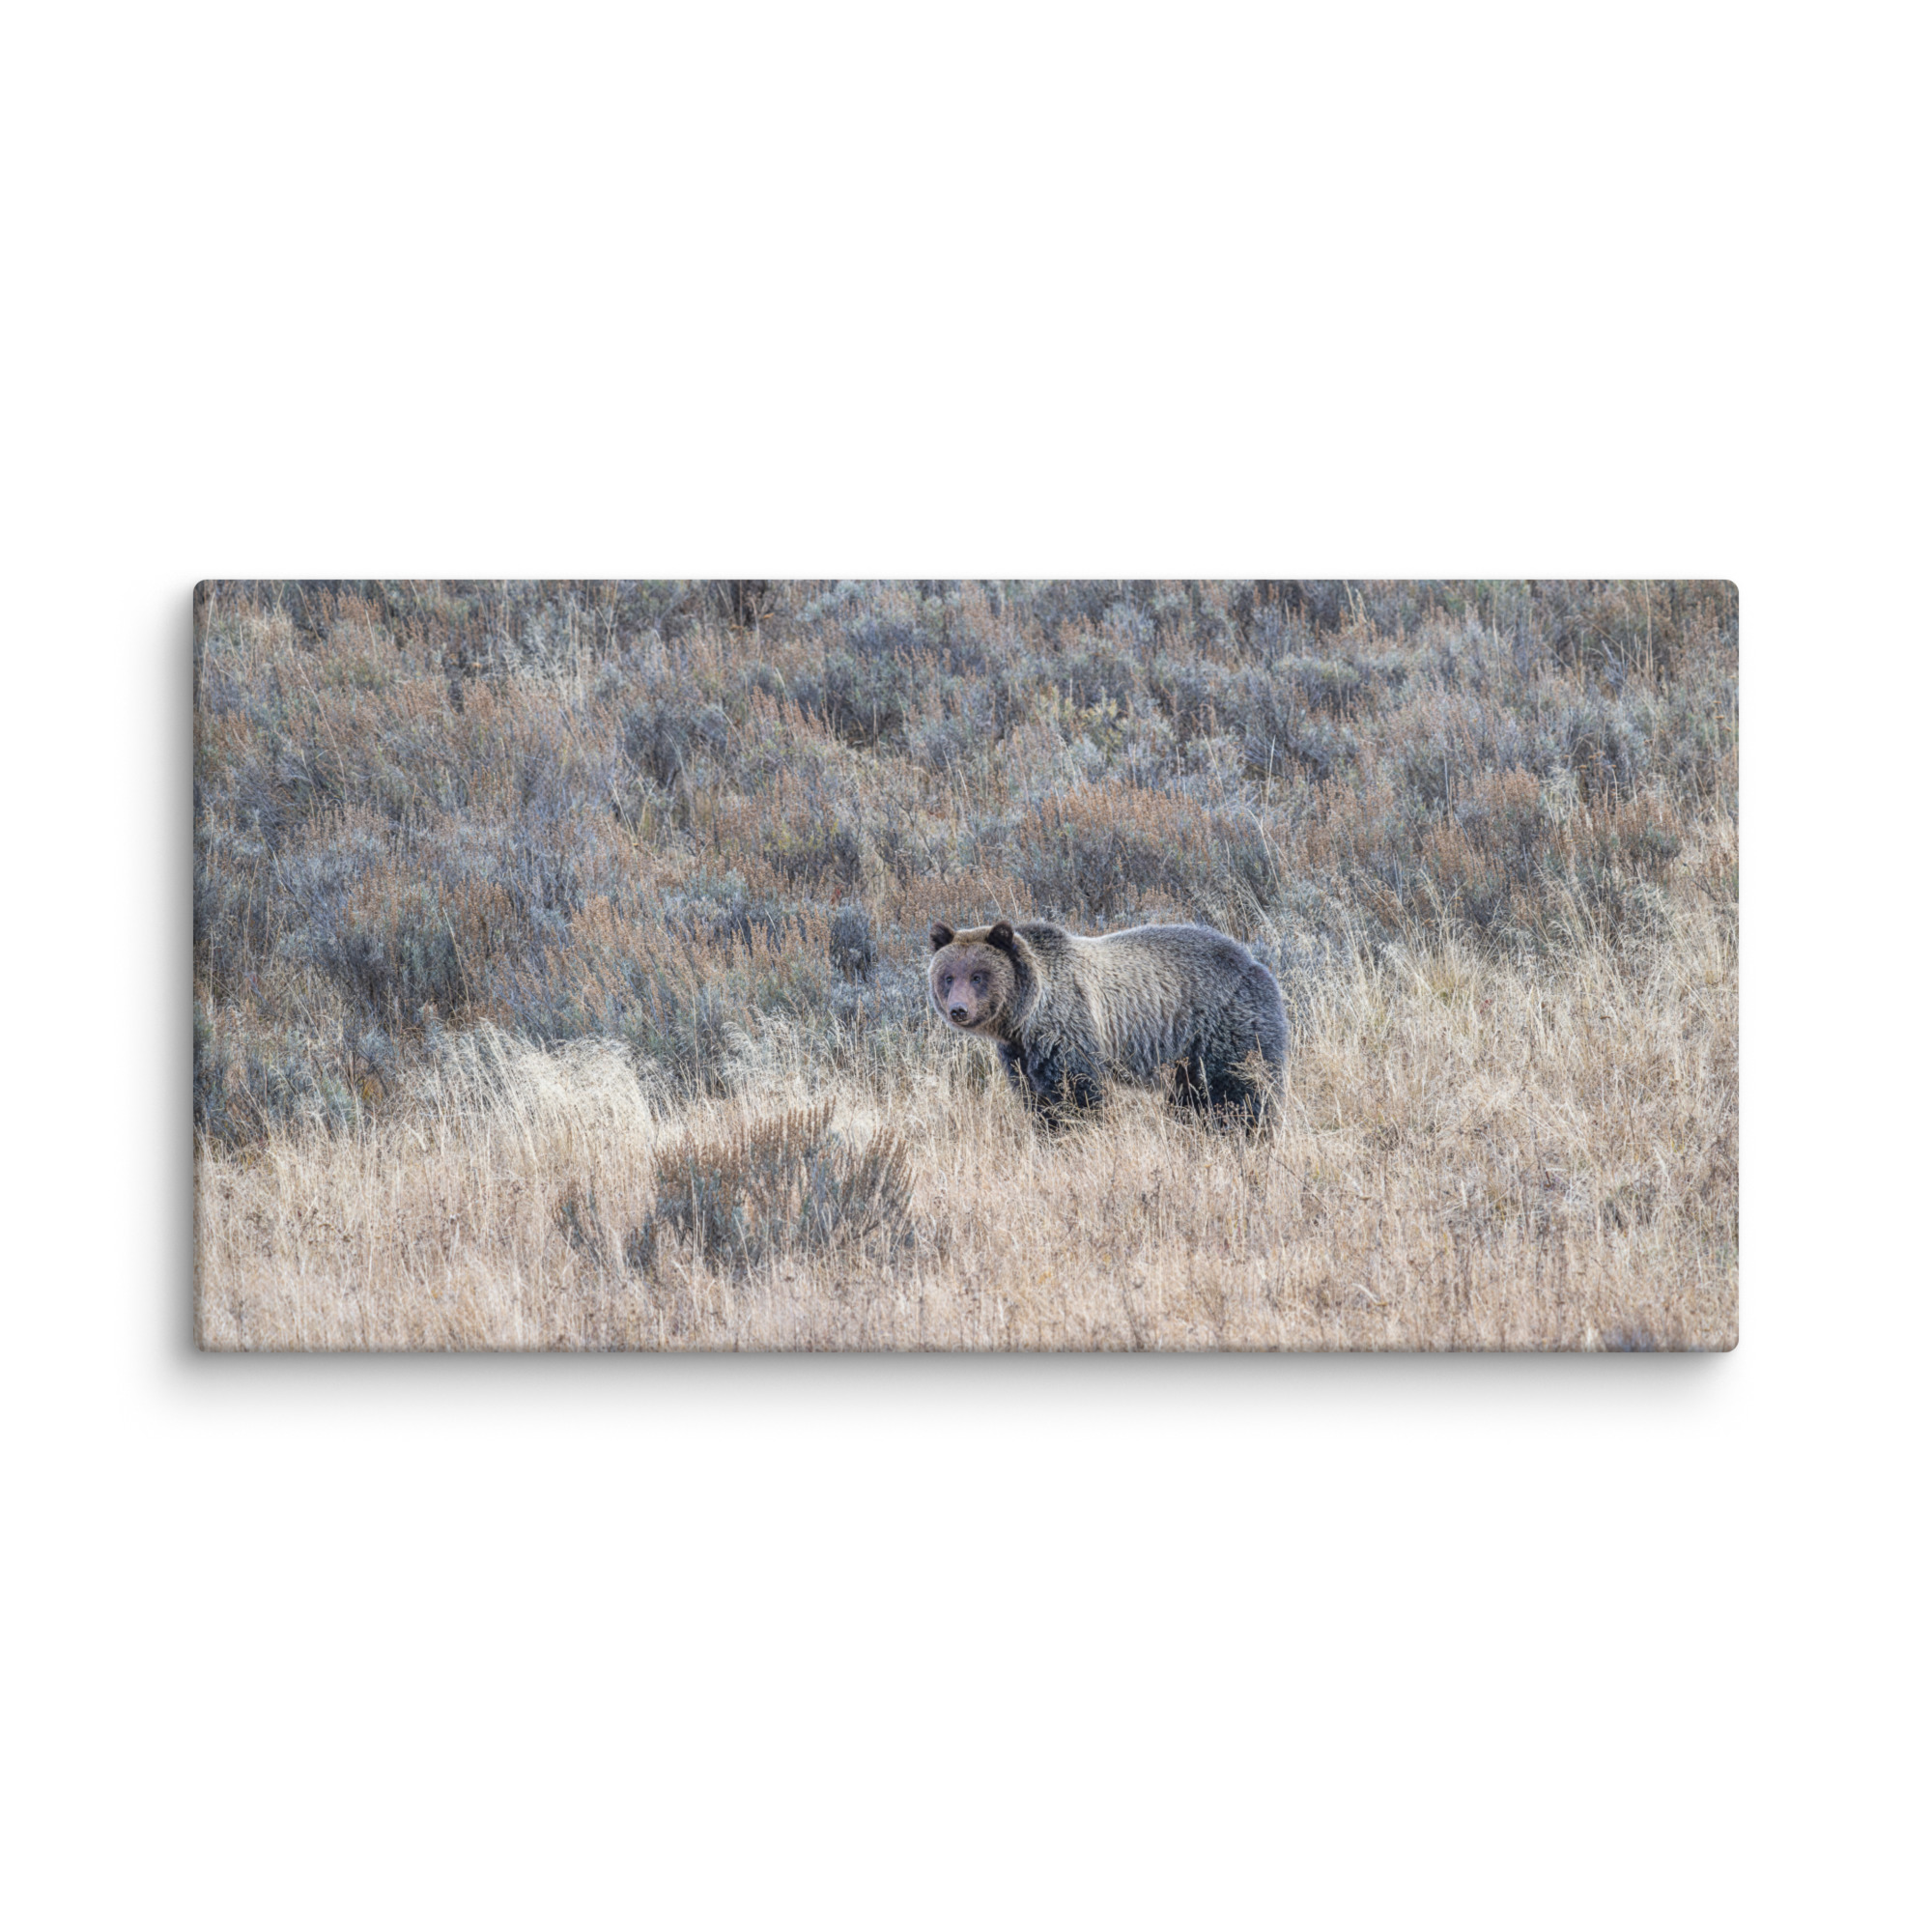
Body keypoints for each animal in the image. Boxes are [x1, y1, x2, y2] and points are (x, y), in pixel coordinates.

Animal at [927, 916, 1287, 1131]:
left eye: (978, 976)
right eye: (948, 977)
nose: (958, 1010)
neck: (1025, 1017)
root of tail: (1255, 963)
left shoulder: (1068, 1030)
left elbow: (1077, 1093)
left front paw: (1078, 1131)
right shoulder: (1020, 1054)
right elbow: (1036, 1099)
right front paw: (1048, 1130)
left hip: (1225, 1025)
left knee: (1240, 1089)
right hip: (1187, 1056)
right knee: (1191, 1097)